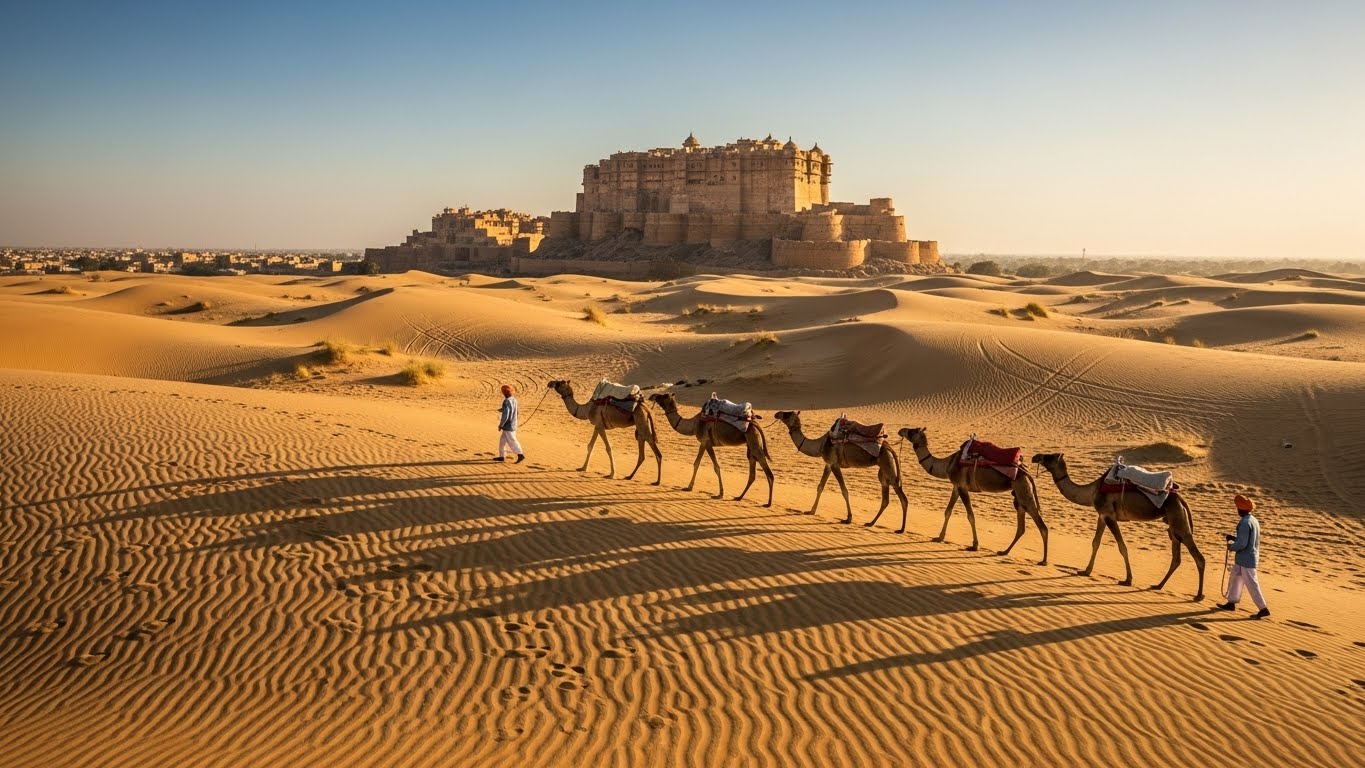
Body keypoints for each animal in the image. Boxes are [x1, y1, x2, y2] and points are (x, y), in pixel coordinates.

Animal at [772, 410, 908, 532]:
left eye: (787, 414)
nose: (777, 413)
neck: (821, 445)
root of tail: (890, 448)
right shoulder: (828, 464)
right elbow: (820, 487)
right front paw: (811, 511)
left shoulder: (834, 464)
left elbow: (844, 490)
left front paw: (848, 518)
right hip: (884, 471)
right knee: (885, 499)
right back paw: (871, 523)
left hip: (888, 465)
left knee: (903, 498)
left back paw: (901, 529)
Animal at [900, 428, 1049, 564]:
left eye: (912, 431)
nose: (901, 430)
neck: (948, 464)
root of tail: (1026, 472)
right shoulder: (956, 486)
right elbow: (948, 511)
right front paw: (939, 537)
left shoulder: (962, 487)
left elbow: (970, 516)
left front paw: (974, 545)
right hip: (1019, 496)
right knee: (1021, 527)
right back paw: (1004, 551)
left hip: (1023, 490)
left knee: (1042, 526)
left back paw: (1043, 561)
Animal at [1032, 452, 1205, 600]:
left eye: (1050, 456)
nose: (1035, 456)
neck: (1092, 491)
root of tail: (1182, 500)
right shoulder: (1102, 516)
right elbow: (1095, 543)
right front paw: (1086, 571)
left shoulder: (1110, 516)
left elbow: (1122, 546)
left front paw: (1128, 579)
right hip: (1173, 525)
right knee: (1176, 558)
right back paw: (1158, 585)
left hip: (1179, 522)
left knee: (1198, 557)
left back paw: (1198, 596)